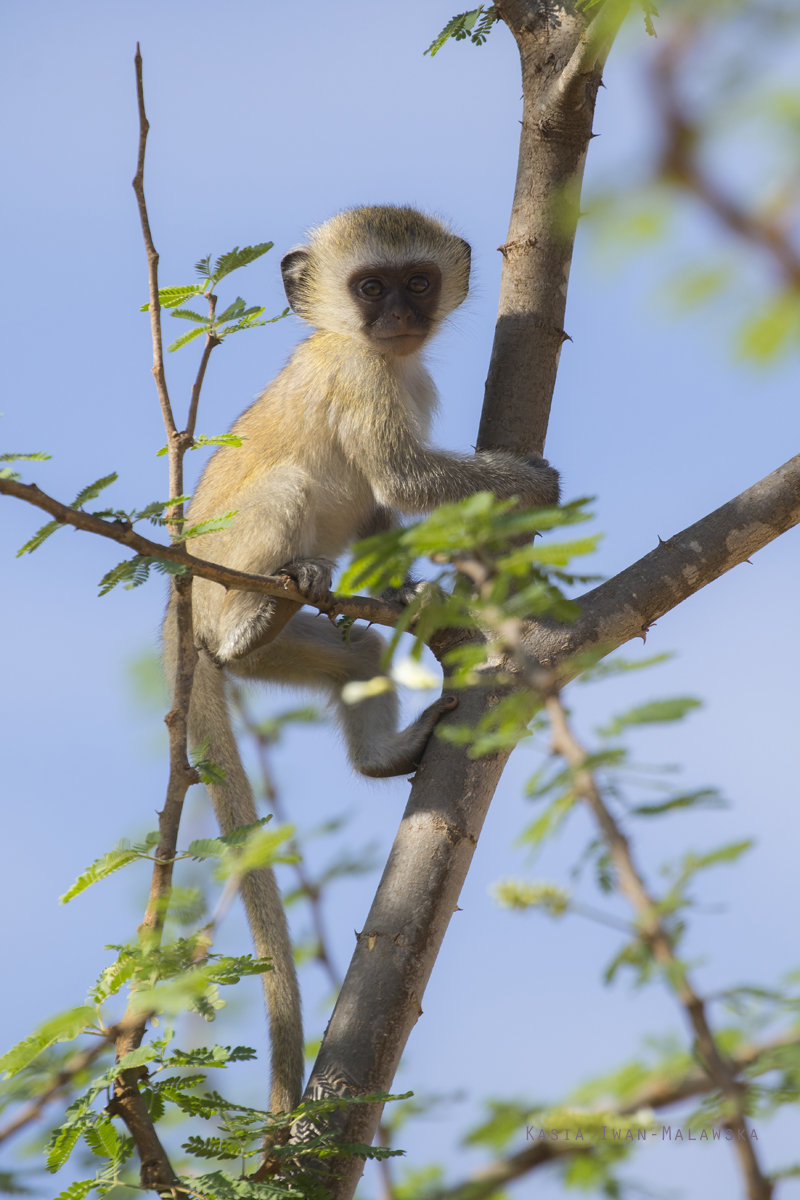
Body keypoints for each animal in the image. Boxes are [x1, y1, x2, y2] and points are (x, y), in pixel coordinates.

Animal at [163, 206, 563, 1113]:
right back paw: (250, 622)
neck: (371, 350)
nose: (399, 317)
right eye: (370, 286)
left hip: (292, 654)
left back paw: (385, 749)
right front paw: (529, 486)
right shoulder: (363, 379)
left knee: (359, 654)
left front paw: (414, 588)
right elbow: (404, 476)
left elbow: (385, 507)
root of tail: (187, 604)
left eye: (417, 281)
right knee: (287, 488)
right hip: (229, 574)